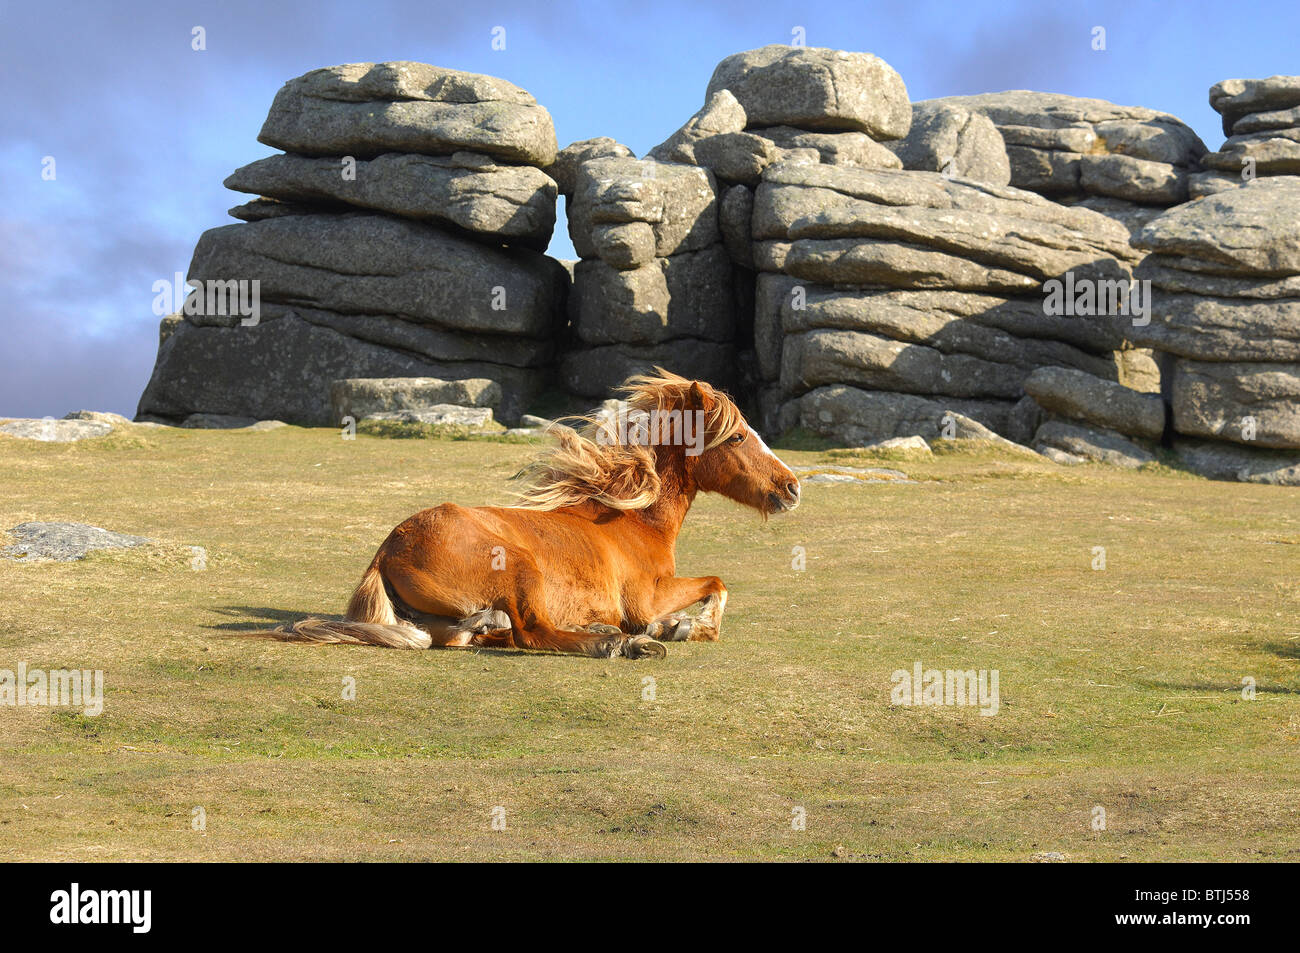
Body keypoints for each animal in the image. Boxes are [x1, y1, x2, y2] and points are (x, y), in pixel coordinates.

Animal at [250, 369, 800, 657]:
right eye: (737, 436)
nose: (792, 487)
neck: (633, 518)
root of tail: (387, 551)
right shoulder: (647, 597)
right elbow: (717, 583)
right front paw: (692, 628)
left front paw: (676, 627)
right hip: (519, 567)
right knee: (530, 633)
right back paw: (616, 644)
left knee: (474, 634)